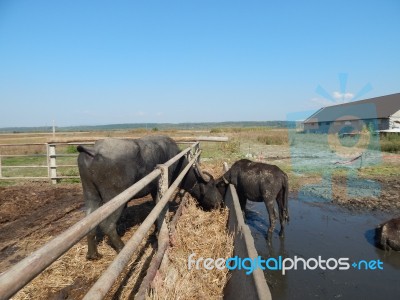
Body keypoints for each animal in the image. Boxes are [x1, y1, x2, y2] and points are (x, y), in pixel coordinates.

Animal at [77, 135, 222, 258]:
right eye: (212, 185)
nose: (220, 202)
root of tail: (93, 150)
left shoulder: (153, 189)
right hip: (115, 198)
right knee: (108, 225)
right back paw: (121, 248)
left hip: (90, 194)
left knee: (89, 223)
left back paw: (93, 254)